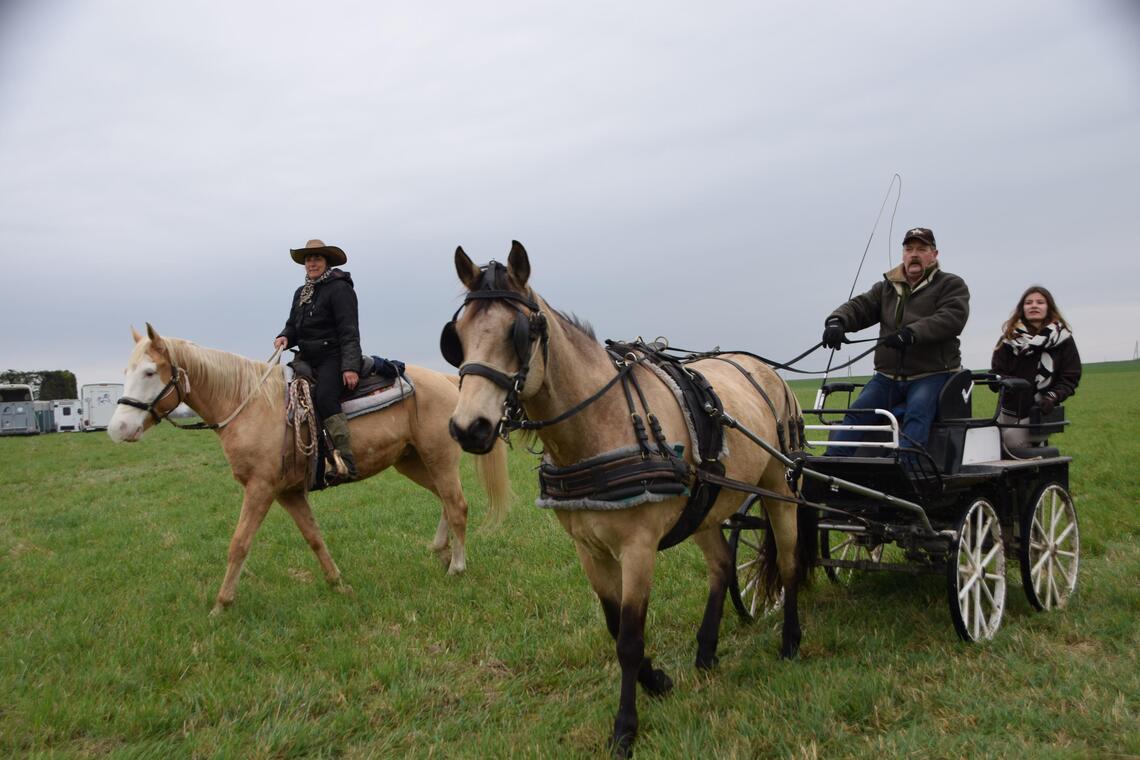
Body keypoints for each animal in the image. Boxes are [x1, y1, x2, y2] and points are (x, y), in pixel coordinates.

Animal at [108, 323, 510, 615]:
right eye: (126, 370)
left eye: (149, 372)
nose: (118, 429)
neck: (251, 404)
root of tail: (448, 381)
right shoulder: (287, 492)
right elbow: (314, 537)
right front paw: (338, 584)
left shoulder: (260, 489)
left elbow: (239, 544)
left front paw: (221, 605)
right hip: (412, 462)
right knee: (446, 500)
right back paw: (441, 551)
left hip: (438, 458)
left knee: (457, 505)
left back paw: (457, 567)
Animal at [440, 243, 816, 756]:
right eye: (456, 337)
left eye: (518, 333)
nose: (468, 428)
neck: (606, 420)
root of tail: (764, 371)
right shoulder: (589, 550)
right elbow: (614, 625)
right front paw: (657, 680)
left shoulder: (638, 549)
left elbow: (630, 639)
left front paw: (625, 727)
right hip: (704, 507)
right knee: (721, 567)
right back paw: (706, 651)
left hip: (779, 488)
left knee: (790, 561)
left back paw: (790, 642)